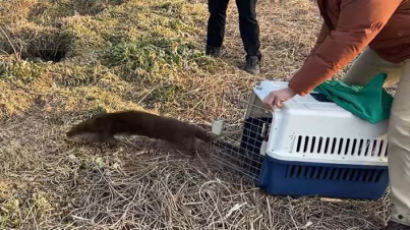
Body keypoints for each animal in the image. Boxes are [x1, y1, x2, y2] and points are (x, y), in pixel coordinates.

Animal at [66, 110, 216, 154]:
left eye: (73, 132)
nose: (66, 134)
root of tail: (188, 126)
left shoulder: (105, 128)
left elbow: (108, 138)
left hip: (180, 136)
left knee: (191, 144)